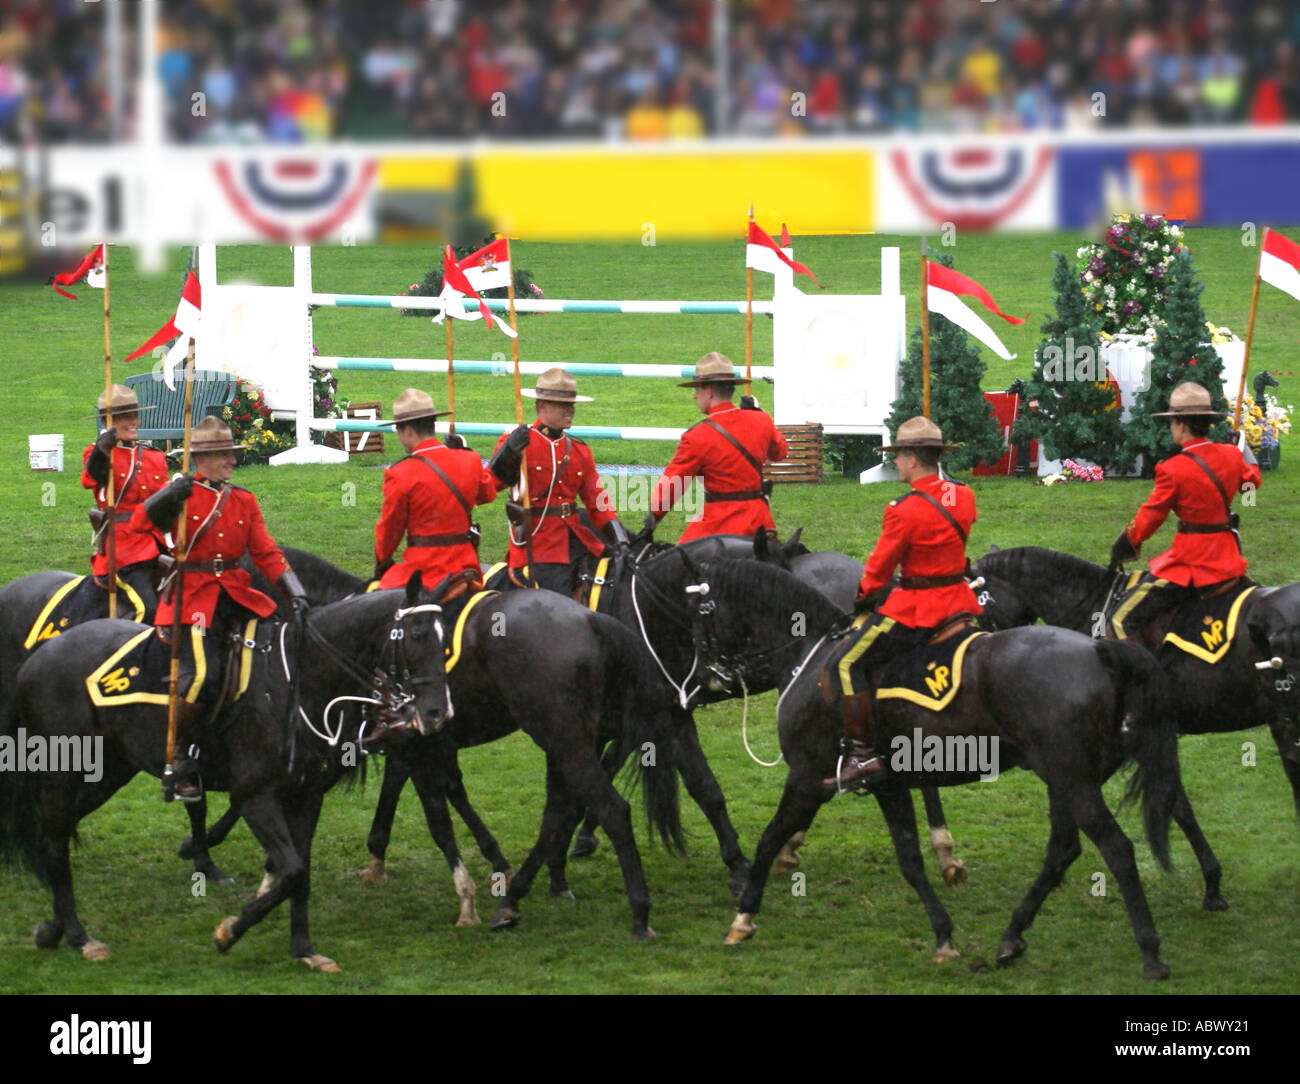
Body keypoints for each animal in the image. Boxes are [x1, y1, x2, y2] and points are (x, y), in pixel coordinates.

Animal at [0, 579, 452, 967]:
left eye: (444, 638)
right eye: (417, 635)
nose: (436, 712)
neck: (296, 683)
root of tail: (37, 657)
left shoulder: (306, 796)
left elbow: (300, 875)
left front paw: (303, 949)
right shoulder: (255, 798)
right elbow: (291, 871)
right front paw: (230, 931)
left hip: (108, 773)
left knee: (53, 837)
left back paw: (55, 927)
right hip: (64, 772)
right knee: (54, 840)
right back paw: (79, 936)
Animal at [665, 561, 1185, 977]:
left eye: (696, 621)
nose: (698, 682)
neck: (811, 657)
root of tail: (1099, 651)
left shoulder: (808, 778)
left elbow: (769, 838)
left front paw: (743, 916)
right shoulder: (885, 785)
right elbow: (910, 860)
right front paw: (944, 935)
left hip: (1073, 782)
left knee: (1117, 850)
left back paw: (1151, 953)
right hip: (1065, 780)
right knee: (1062, 850)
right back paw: (1012, 936)